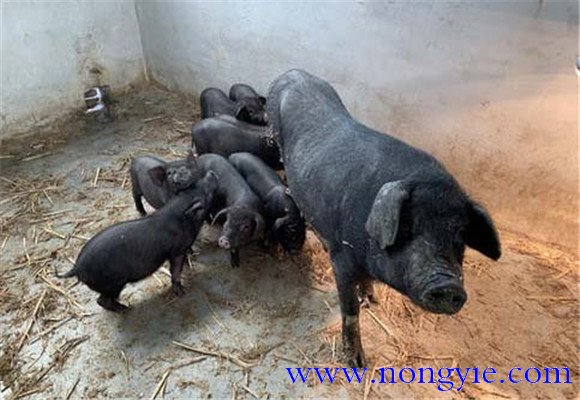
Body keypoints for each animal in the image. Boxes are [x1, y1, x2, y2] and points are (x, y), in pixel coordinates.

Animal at [57, 171, 218, 312]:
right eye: (206, 193)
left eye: (196, 183)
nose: (210, 172)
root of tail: (77, 267)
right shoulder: (177, 250)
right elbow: (176, 270)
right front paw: (182, 291)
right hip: (113, 283)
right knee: (101, 301)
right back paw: (125, 309)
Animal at [267, 69, 501, 367]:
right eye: (408, 225)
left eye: (459, 235)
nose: (448, 284)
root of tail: (292, 73)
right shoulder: (342, 261)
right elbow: (350, 311)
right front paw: (358, 363)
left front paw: (372, 299)